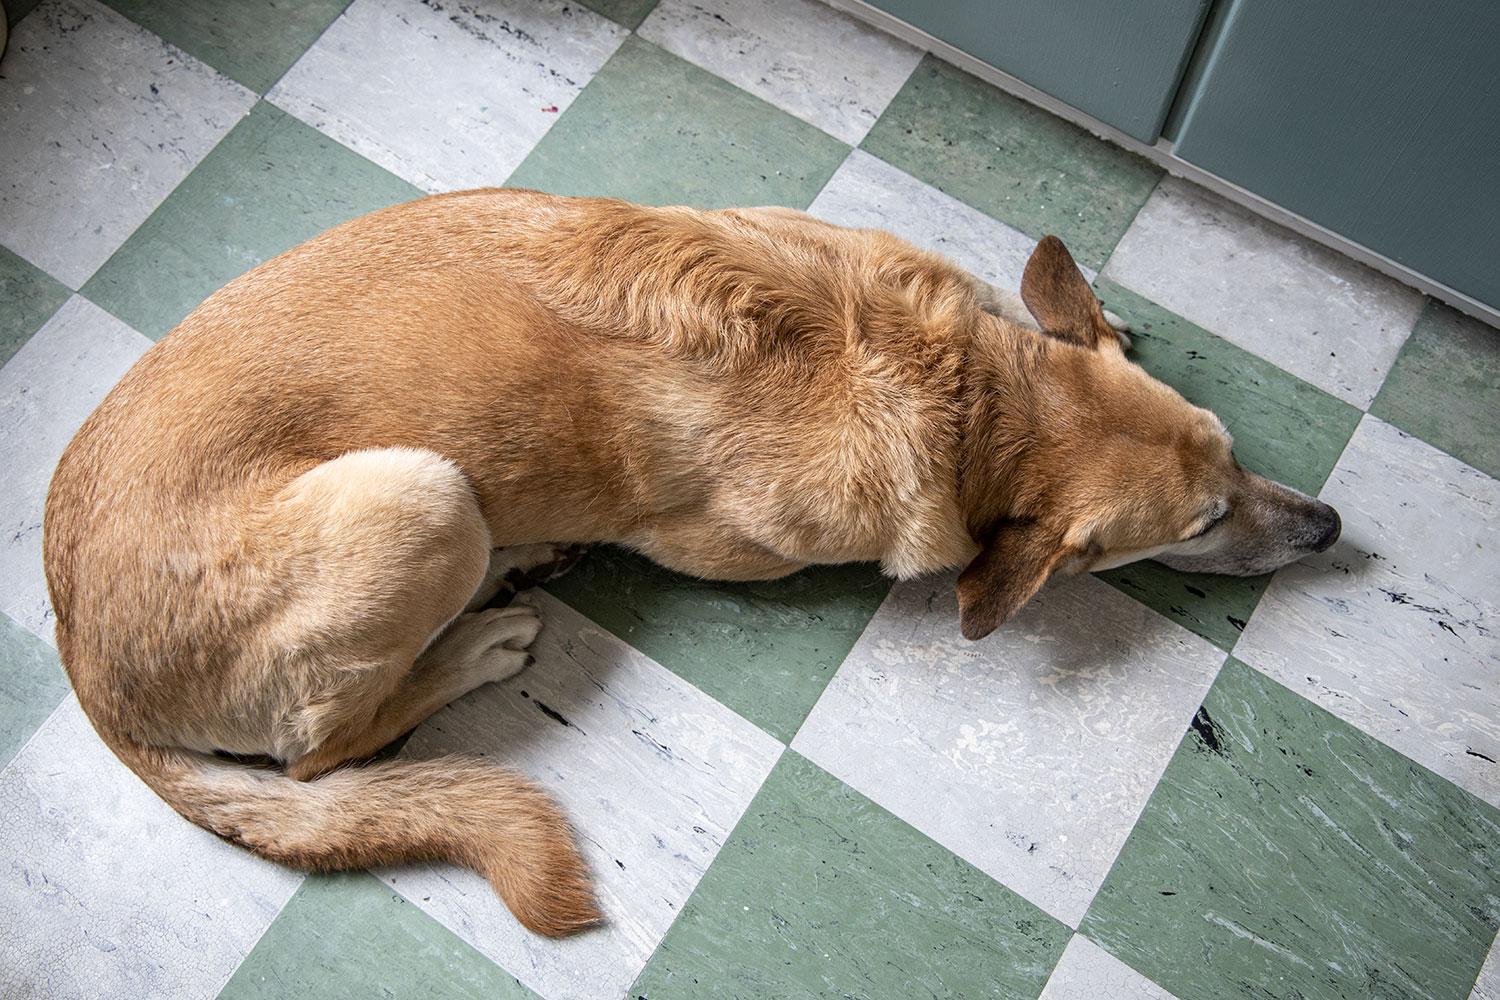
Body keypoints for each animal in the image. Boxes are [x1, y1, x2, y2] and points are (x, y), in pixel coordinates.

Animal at [41, 189, 1344, 941]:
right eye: (1196, 525)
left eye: (1235, 460)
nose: (1328, 527)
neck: (963, 390)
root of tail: (83, 667)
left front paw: (1100, 317)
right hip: (425, 494)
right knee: (323, 751)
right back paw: (486, 630)